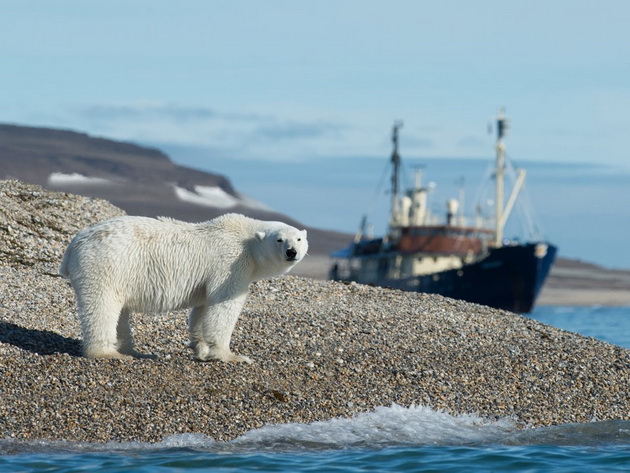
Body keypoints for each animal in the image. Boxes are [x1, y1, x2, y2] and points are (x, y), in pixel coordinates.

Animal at [58, 214, 310, 362]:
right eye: (279, 239)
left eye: (298, 239)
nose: (292, 252)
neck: (246, 238)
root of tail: (74, 244)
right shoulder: (231, 263)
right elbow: (224, 306)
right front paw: (231, 356)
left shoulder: (209, 278)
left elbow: (203, 309)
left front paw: (201, 349)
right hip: (106, 264)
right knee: (102, 306)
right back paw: (108, 353)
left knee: (120, 311)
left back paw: (133, 351)